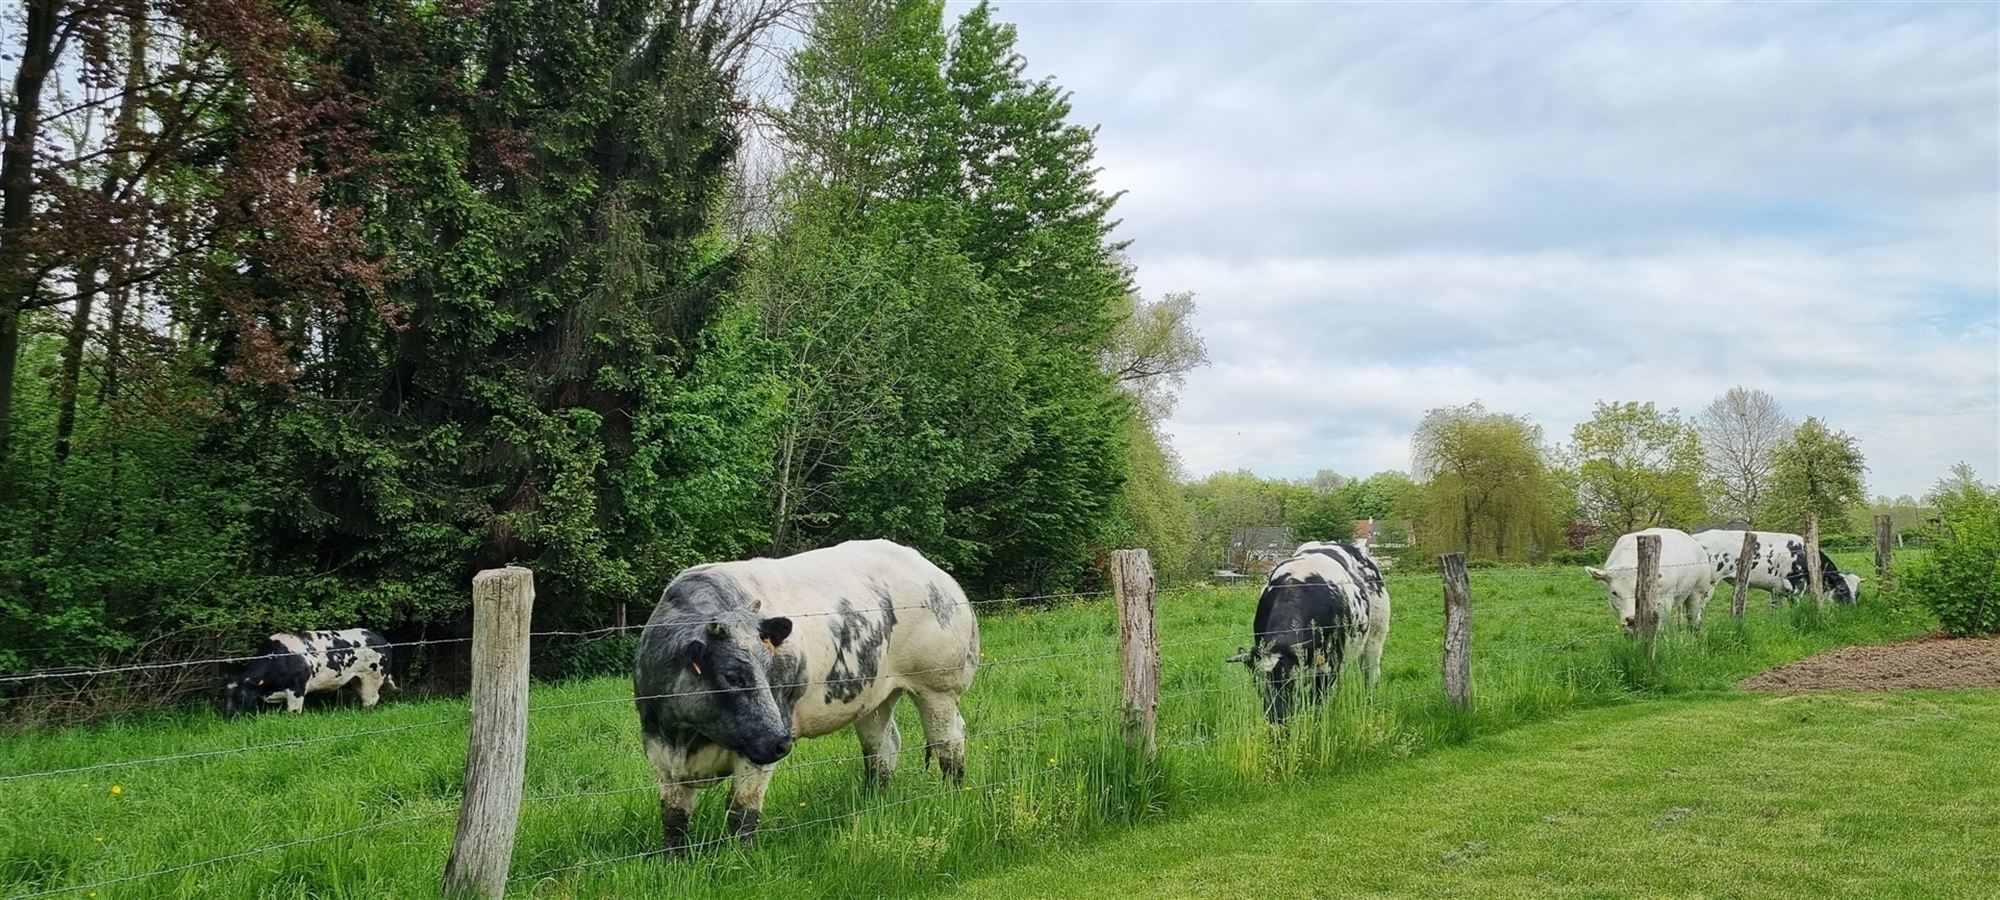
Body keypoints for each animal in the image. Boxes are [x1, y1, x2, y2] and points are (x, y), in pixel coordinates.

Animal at [225, 624, 396, 716]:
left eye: (241, 695)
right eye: (226, 695)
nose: (229, 714)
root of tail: (379, 637)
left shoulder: (297, 689)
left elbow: (294, 712)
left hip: (372, 678)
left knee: (371, 699)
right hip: (356, 680)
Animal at [636, 536, 980, 856]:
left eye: (770, 668)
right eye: (732, 676)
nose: (781, 742)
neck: (687, 737)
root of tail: (936, 573)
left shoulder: (760, 748)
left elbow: (742, 811)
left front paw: (739, 858)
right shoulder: (657, 749)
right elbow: (674, 818)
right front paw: (673, 860)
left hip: (938, 687)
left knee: (949, 743)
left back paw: (950, 796)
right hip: (873, 697)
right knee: (883, 748)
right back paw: (873, 803)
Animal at [1216, 536, 1392, 720]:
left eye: (1290, 681)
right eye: (1258, 682)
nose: (1277, 717)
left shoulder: (1329, 665)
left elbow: (1318, 702)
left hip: (1376, 635)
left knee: (1370, 672)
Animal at [1584, 528, 1712, 632]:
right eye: (1614, 593)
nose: (1631, 618)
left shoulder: (1665, 601)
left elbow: (1659, 629)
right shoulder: (1617, 609)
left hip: (1697, 591)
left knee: (1693, 618)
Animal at [1696, 528, 1864, 604]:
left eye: (1858, 593)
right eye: (1842, 589)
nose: (1852, 608)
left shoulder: (1776, 589)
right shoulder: (1797, 586)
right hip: (1707, 586)